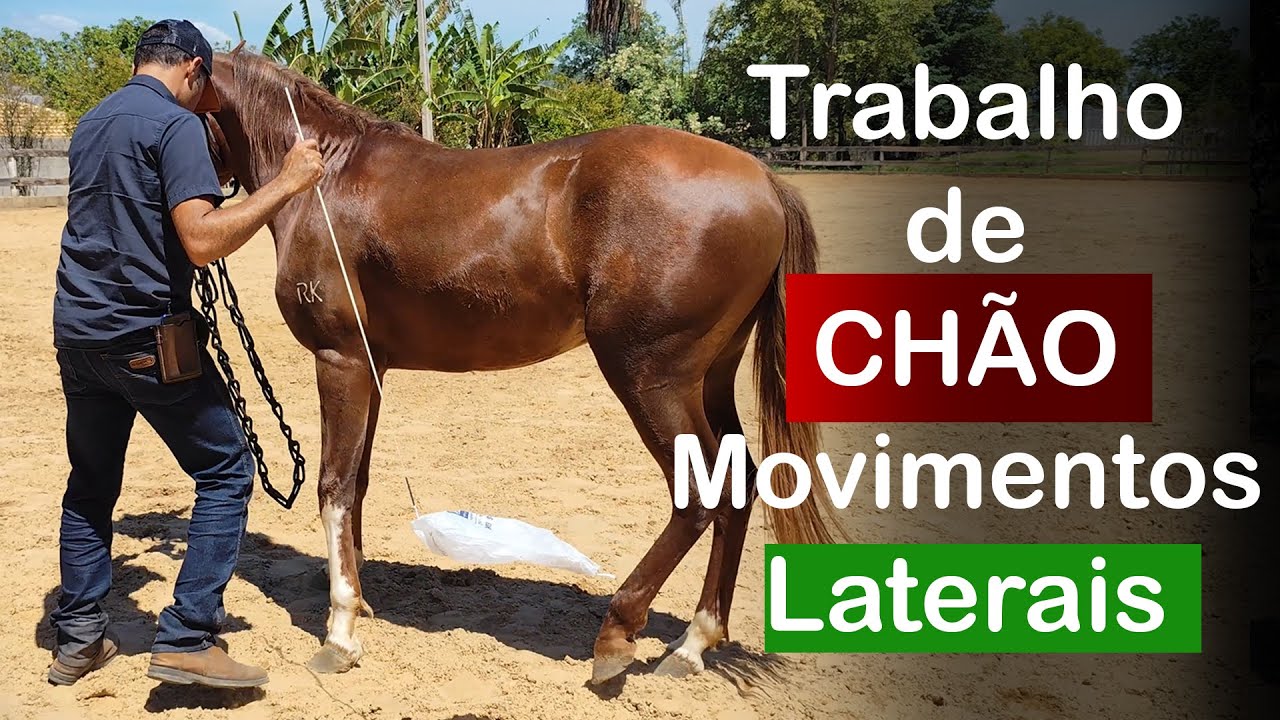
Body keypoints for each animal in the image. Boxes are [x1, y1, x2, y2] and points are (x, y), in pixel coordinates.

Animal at [205, 49, 839, 684]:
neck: (324, 177)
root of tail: (763, 180)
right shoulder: (372, 368)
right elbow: (357, 479)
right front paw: (357, 594)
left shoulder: (340, 361)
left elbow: (333, 485)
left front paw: (340, 630)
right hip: (709, 381)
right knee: (741, 488)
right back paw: (693, 644)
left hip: (648, 379)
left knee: (701, 494)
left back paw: (617, 634)